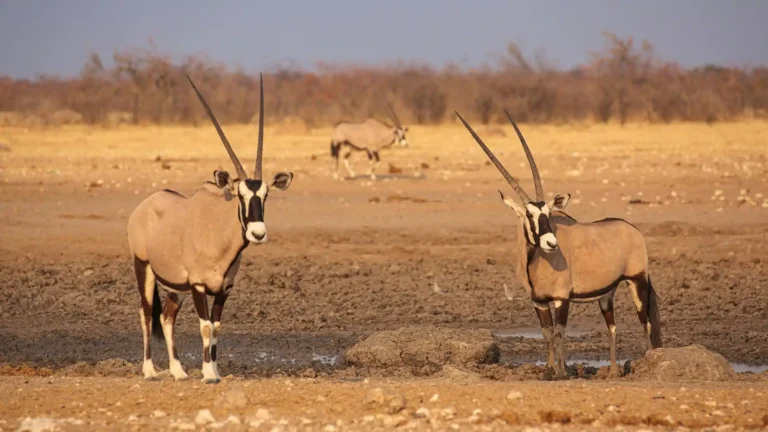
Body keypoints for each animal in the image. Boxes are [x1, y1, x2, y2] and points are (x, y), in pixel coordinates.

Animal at [127, 72, 292, 384]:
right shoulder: (199, 285)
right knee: (146, 313)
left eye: (265, 195)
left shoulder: (224, 288)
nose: (258, 233)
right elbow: (204, 326)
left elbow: (216, 328)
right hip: (144, 268)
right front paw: (207, 374)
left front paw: (215, 370)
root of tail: (143, 206)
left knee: (167, 317)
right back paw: (150, 370)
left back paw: (178, 371)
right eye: (240, 195)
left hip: (175, 286)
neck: (219, 235)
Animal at [456, 110, 660, 378]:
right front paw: (549, 370)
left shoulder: (562, 298)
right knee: (613, 326)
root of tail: (633, 230)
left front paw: (562, 372)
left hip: (637, 281)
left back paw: (648, 362)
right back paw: (614, 371)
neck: (534, 263)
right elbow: (547, 333)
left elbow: (561, 333)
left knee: (645, 321)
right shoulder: (539, 302)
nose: (551, 243)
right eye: (530, 215)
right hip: (607, 294)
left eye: (548, 214)